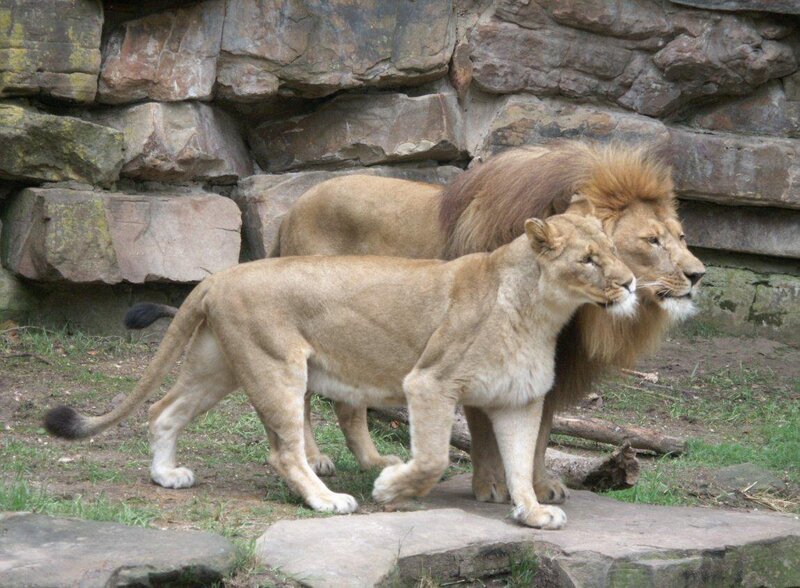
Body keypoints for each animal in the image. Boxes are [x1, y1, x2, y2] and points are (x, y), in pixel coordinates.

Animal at [46, 213, 636, 529]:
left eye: (614, 249)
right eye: (587, 259)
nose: (630, 282)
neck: (542, 311)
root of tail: (217, 276)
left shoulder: (518, 400)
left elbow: (519, 465)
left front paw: (533, 513)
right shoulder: (429, 382)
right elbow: (434, 458)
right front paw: (392, 489)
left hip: (218, 367)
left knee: (162, 409)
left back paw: (166, 475)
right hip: (276, 367)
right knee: (284, 450)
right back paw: (327, 499)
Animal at [125, 141, 706, 504]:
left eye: (680, 235)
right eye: (651, 241)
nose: (698, 275)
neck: (576, 319)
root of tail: (294, 207)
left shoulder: (549, 370)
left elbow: (537, 433)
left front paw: (539, 487)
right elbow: (480, 428)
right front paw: (492, 487)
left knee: (338, 403)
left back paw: (370, 461)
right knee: (309, 403)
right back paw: (319, 463)